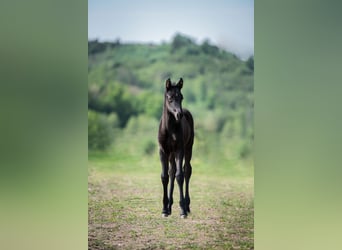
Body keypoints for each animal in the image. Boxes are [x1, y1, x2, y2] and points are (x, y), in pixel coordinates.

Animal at [157, 77, 192, 217]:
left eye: (181, 97)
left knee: (187, 171)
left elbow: (180, 176)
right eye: (169, 97)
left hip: (188, 149)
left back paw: (187, 206)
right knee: (171, 173)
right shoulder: (163, 151)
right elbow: (165, 176)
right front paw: (164, 209)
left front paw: (182, 210)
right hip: (171, 154)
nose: (179, 115)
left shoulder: (179, 150)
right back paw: (169, 206)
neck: (169, 129)